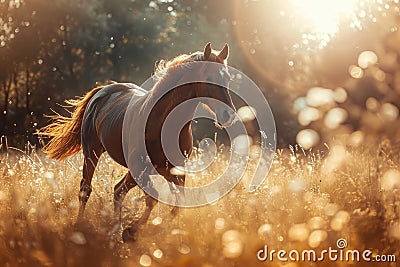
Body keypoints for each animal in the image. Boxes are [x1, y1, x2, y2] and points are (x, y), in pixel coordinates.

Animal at [38, 42, 234, 243]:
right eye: (209, 78)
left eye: (227, 79)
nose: (228, 115)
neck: (162, 123)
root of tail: (102, 92)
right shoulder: (141, 168)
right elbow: (153, 199)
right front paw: (132, 230)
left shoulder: (174, 171)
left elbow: (176, 204)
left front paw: (143, 231)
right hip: (92, 153)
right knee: (86, 189)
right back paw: (82, 225)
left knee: (118, 191)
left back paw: (116, 232)